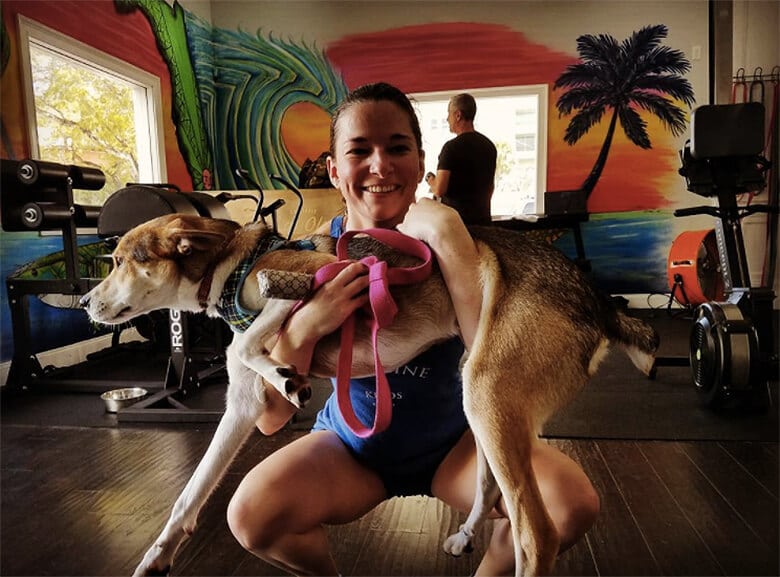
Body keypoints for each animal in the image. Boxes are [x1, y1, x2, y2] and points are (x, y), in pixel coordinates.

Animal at [80, 213, 660, 576]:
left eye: (120, 261)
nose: (83, 302)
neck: (231, 269)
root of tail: (598, 300)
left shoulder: (316, 280)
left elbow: (247, 344)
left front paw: (285, 374)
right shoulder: (243, 406)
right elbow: (188, 496)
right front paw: (153, 559)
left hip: (489, 393)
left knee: (535, 534)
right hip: (483, 396)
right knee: (490, 488)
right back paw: (465, 535)